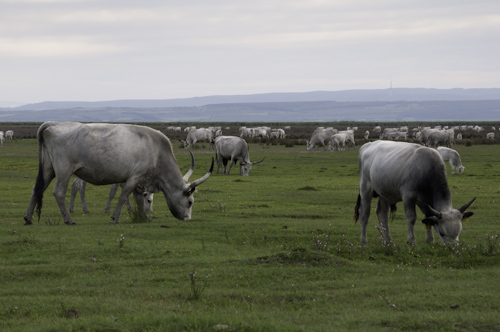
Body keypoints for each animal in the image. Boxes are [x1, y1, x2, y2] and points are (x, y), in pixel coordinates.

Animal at [24, 122, 214, 226]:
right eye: (190, 202)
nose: (187, 219)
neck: (157, 151)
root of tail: (53, 124)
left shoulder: (140, 183)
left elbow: (138, 200)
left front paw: (145, 217)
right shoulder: (134, 178)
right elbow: (123, 197)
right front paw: (115, 217)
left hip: (48, 170)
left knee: (36, 189)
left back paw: (28, 218)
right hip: (64, 170)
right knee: (59, 192)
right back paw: (68, 219)